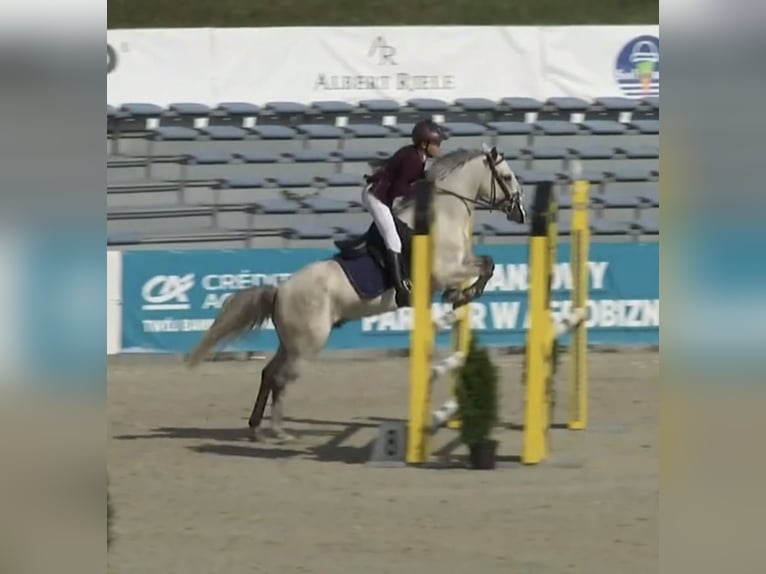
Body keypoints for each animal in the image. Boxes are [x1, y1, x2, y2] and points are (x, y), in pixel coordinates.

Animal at [186, 144, 526, 441]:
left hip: (292, 343)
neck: (442, 215)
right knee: (281, 379)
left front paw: (459, 296)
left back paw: (257, 429)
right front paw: (464, 295)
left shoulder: (458, 265)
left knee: (269, 374)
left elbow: (487, 263)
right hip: (307, 345)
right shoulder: (444, 271)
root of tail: (280, 290)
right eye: (507, 177)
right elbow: (486, 267)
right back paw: (279, 431)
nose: (519, 212)